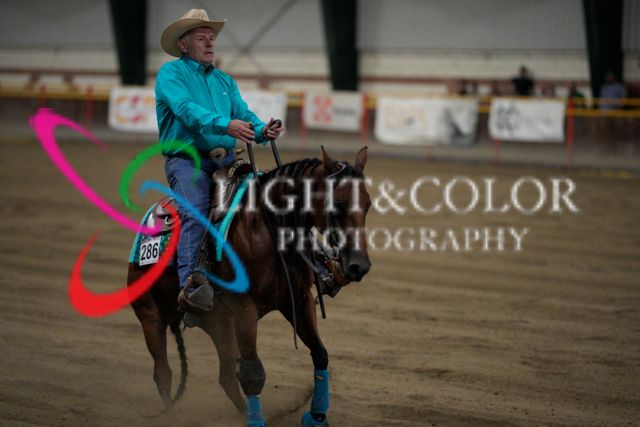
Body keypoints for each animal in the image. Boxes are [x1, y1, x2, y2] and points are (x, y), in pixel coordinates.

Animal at [127, 146, 371, 426]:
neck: (269, 228)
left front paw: (317, 416)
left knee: (226, 375)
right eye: (337, 204)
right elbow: (253, 373)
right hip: (150, 314)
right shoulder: (245, 307)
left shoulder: (299, 300)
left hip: (218, 322)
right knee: (163, 373)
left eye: (368, 204)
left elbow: (320, 354)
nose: (360, 266)